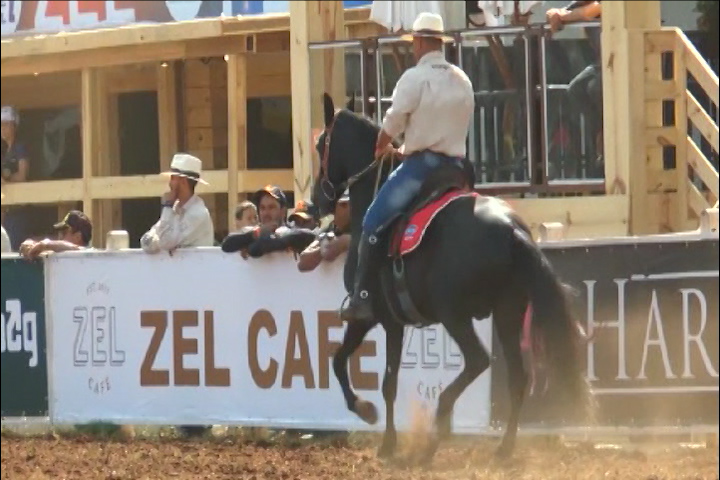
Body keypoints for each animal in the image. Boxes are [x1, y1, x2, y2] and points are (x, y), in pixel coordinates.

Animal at [312, 93, 592, 462]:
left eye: (321, 144)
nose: (316, 200)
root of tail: (512, 229)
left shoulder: (375, 318)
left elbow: (361, 371)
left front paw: (374, 423)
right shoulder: (391, 321)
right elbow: (361, 369)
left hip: (455, 315)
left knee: (478, 360)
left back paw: (439, 426)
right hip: (508, 311)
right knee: (518, 376)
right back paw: (503, 448)